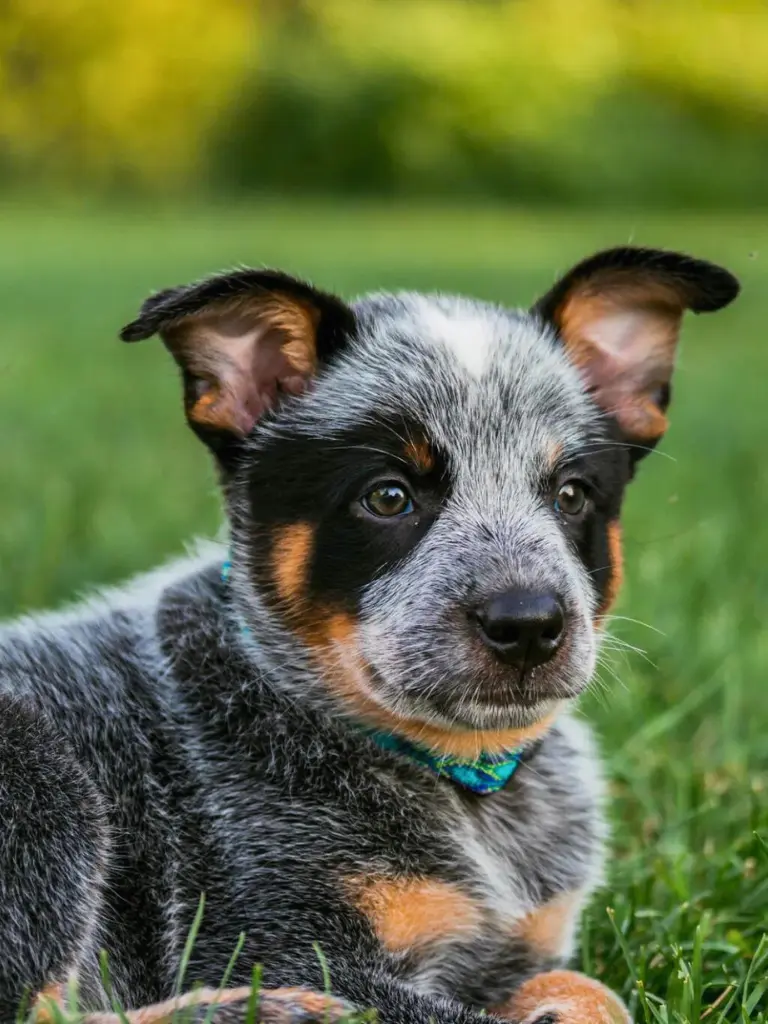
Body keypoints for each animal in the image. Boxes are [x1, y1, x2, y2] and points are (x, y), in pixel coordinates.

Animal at [3, 243, 741, 1019]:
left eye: (571, 494)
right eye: (388, 496)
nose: (528, 623)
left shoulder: (527, 941)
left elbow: (588, 986)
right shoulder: (272, 938)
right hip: (43, 779)